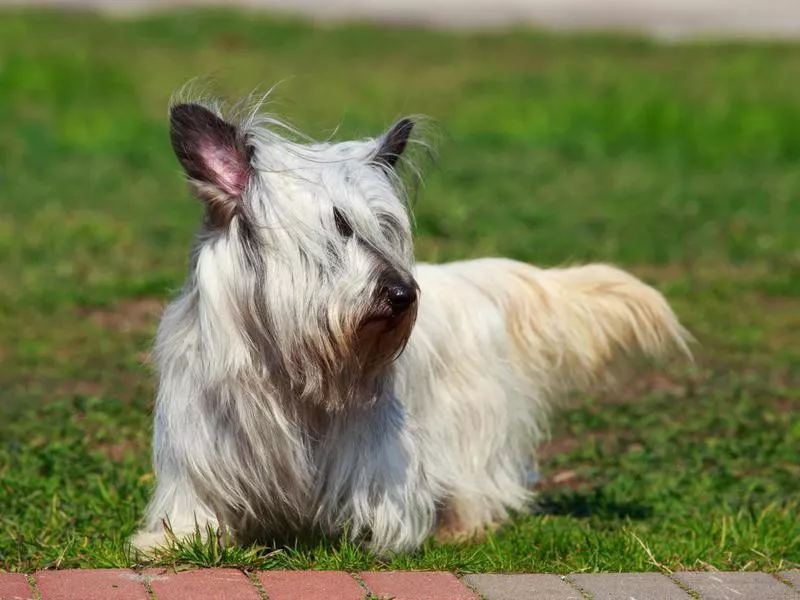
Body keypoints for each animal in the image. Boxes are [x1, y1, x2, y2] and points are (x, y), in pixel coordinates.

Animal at [133, 91, 692, 556]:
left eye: (385, 228)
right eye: (338, 227)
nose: (403, 294)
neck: (286, 368)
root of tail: (469, 280)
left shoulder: (375, 451)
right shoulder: (203, 443)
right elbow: (196, 502)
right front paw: (172, 541)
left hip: (470, 426)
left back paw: (461, 526)